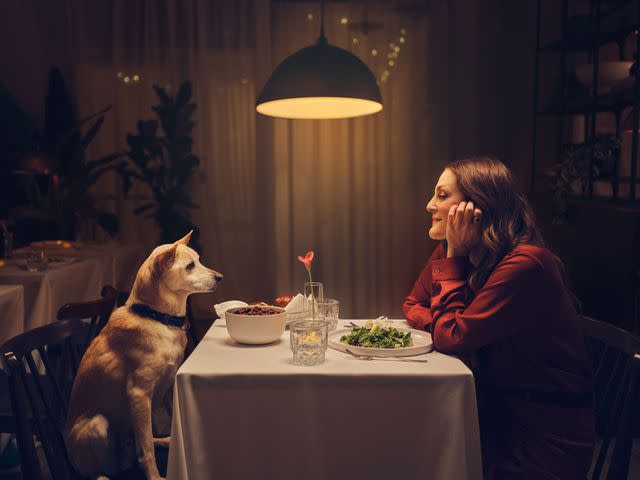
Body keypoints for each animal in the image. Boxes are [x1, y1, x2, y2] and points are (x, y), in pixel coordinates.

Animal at [63, 231, 222, 478]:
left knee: (143, 441)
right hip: (97, 424)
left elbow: (161, 430)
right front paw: (156, 477)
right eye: (189, 266)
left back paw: (165, 440)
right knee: (101, 470)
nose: (220, 277)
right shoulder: (138, 394)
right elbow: (146, 451)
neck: (156, 317)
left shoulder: (170, 384)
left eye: (199, 260)